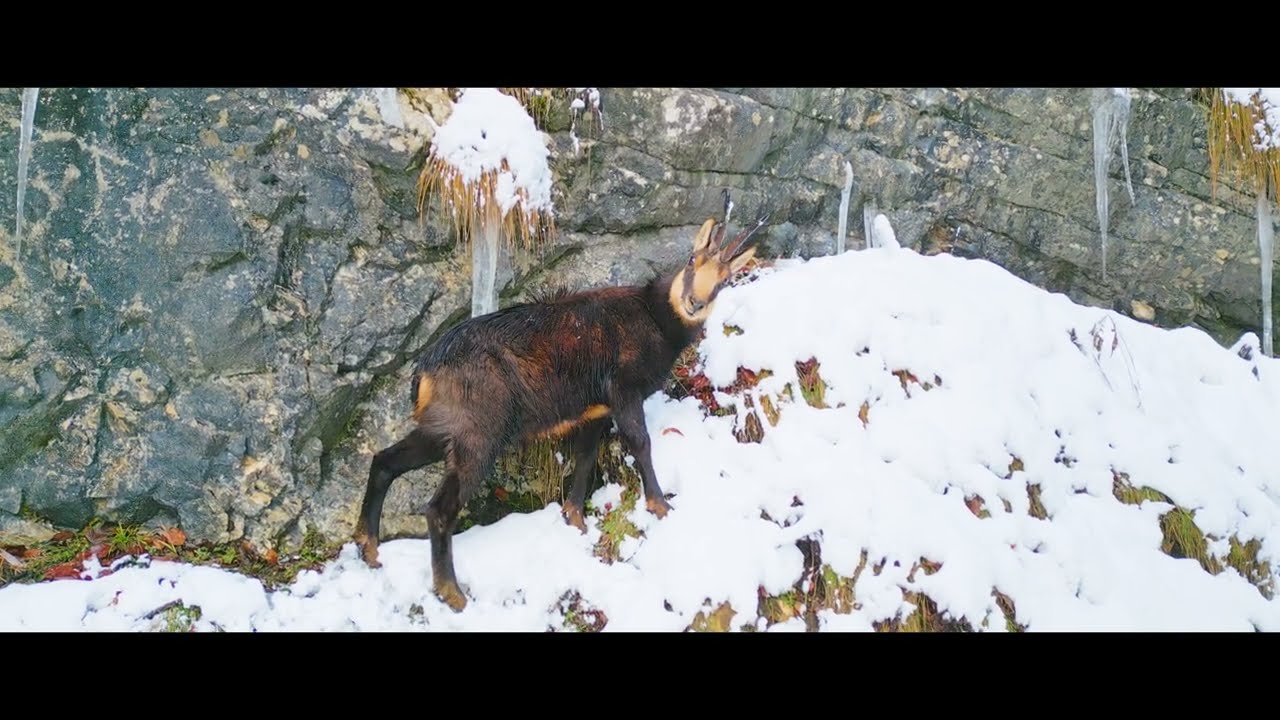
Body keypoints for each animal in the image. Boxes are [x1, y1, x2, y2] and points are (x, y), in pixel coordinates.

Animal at [353, 194, 768, 612]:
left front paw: (575, 520)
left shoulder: (594, 411)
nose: (694, 302)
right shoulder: (623, 391)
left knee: (385, 462)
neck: (655, 320)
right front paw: (660, 505)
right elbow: (640, 443)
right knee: (439, 508)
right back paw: (452, 593)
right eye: (692, 260)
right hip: (477, 435)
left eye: (725, 280)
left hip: (441, 428)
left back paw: (369, 550)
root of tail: (426, 370)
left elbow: (585, 458)